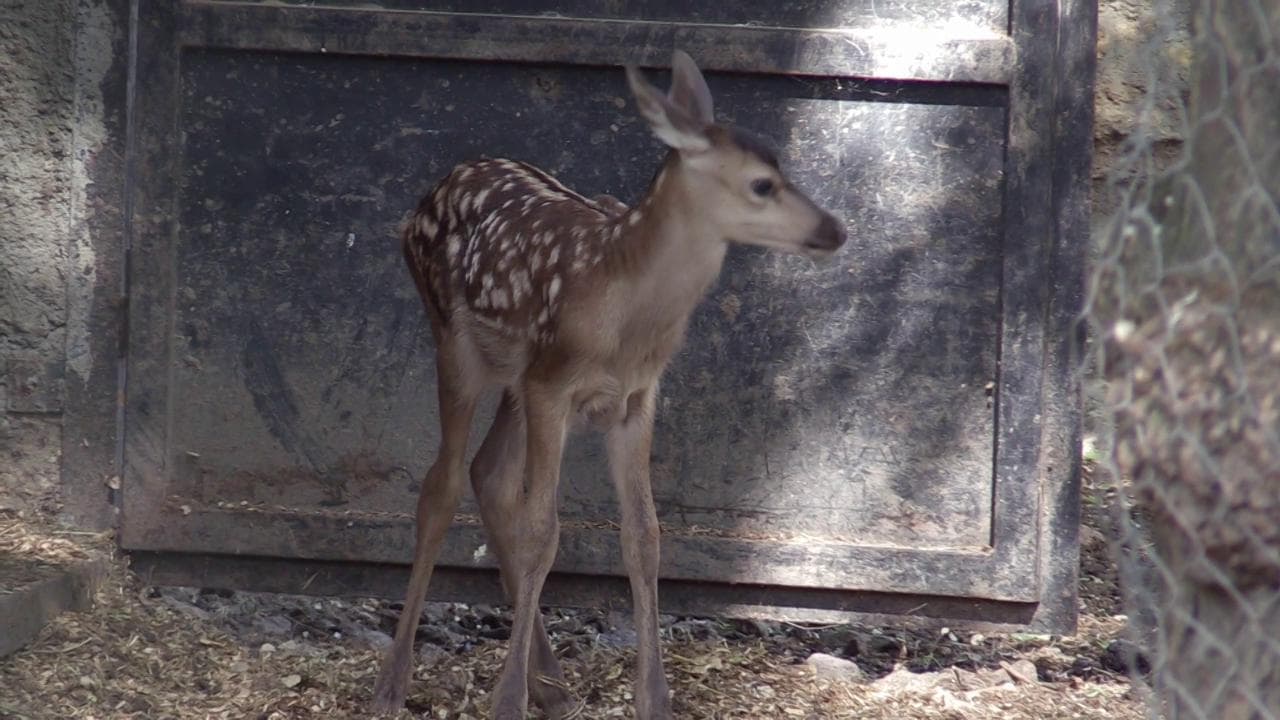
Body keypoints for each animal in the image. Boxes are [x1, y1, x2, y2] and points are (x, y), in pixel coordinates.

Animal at [372, 50, 846, 719]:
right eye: (762, 184)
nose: (834, 230)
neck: (624, 317)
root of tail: (432, 192)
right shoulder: (553, 387)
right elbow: (543, 531)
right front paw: (506, 701)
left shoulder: (634, 398)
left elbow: (644, 537)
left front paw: (654, 699)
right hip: (457, 344)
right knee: (442, 485)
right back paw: (395, 681)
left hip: (519, 376)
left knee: (489, 473)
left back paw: (550, 682)